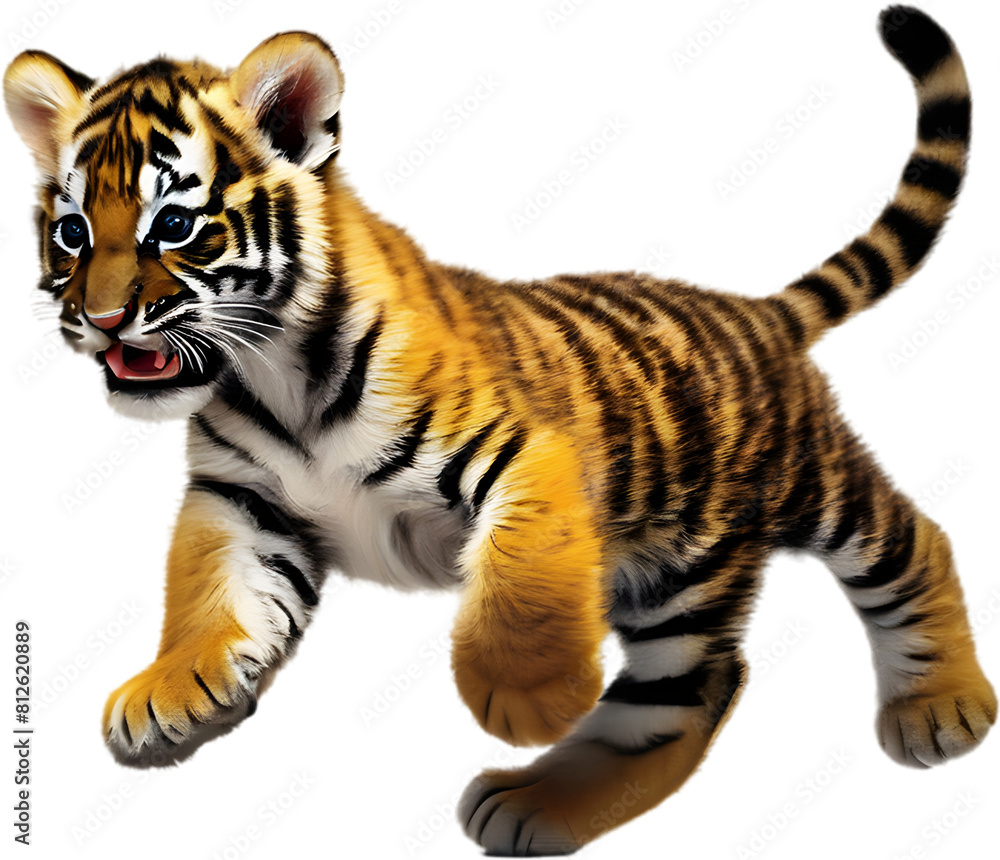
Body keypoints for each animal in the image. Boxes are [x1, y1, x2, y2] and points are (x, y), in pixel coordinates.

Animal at [4, 4, 995, 854]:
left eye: (175, 224)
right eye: (71, 233)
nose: (100, 321)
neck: (272, 370)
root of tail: (755, 311)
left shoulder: (528, 457)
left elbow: (519, 579)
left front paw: (527, 696)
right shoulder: (242, 497)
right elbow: (208, 588)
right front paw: (173, 689)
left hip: (797, 495)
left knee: (912, 544)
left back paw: (940, 707)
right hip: (672, 579)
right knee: (691, 693)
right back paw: (540, 803)